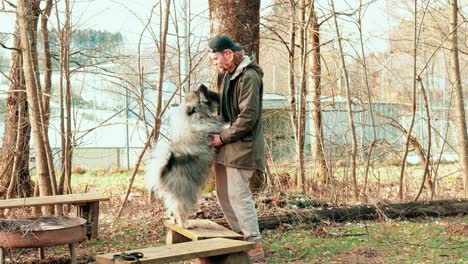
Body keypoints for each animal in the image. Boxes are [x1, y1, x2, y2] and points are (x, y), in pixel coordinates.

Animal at [145, 83, 222, 228]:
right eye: (197, 93)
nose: (202, 85)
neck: (195, 117)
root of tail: (164, 173)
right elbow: (222, 127)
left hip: (173, 196)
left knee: (172, 209)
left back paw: (174, 221)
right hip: (187, 194)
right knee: (180, 210)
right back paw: (185, 224)